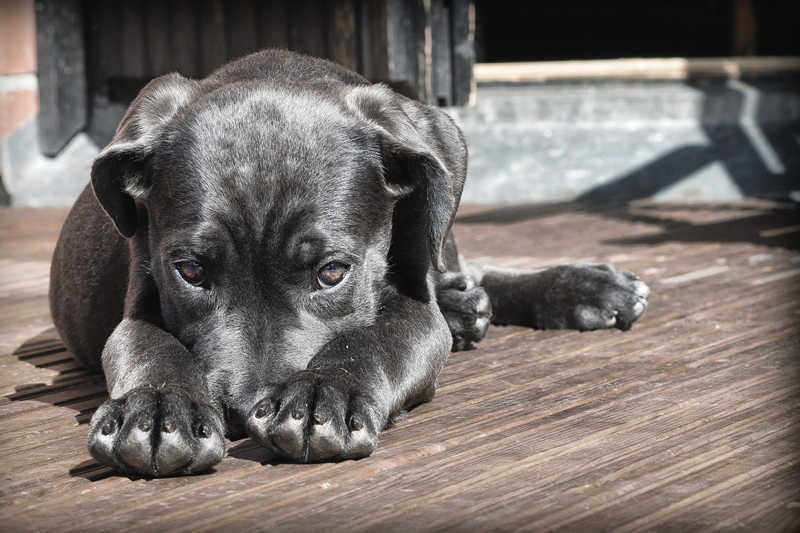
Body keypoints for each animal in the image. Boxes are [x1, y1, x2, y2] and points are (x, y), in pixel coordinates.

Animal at [50, 48, 648, 474]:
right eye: (191, 272)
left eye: (332, 272)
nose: (242, 412)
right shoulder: (140, 299)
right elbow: (149, 346)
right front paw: (156, 409)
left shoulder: (414, 310)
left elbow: (375, 338)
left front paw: (323, 393)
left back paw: (582, 288)